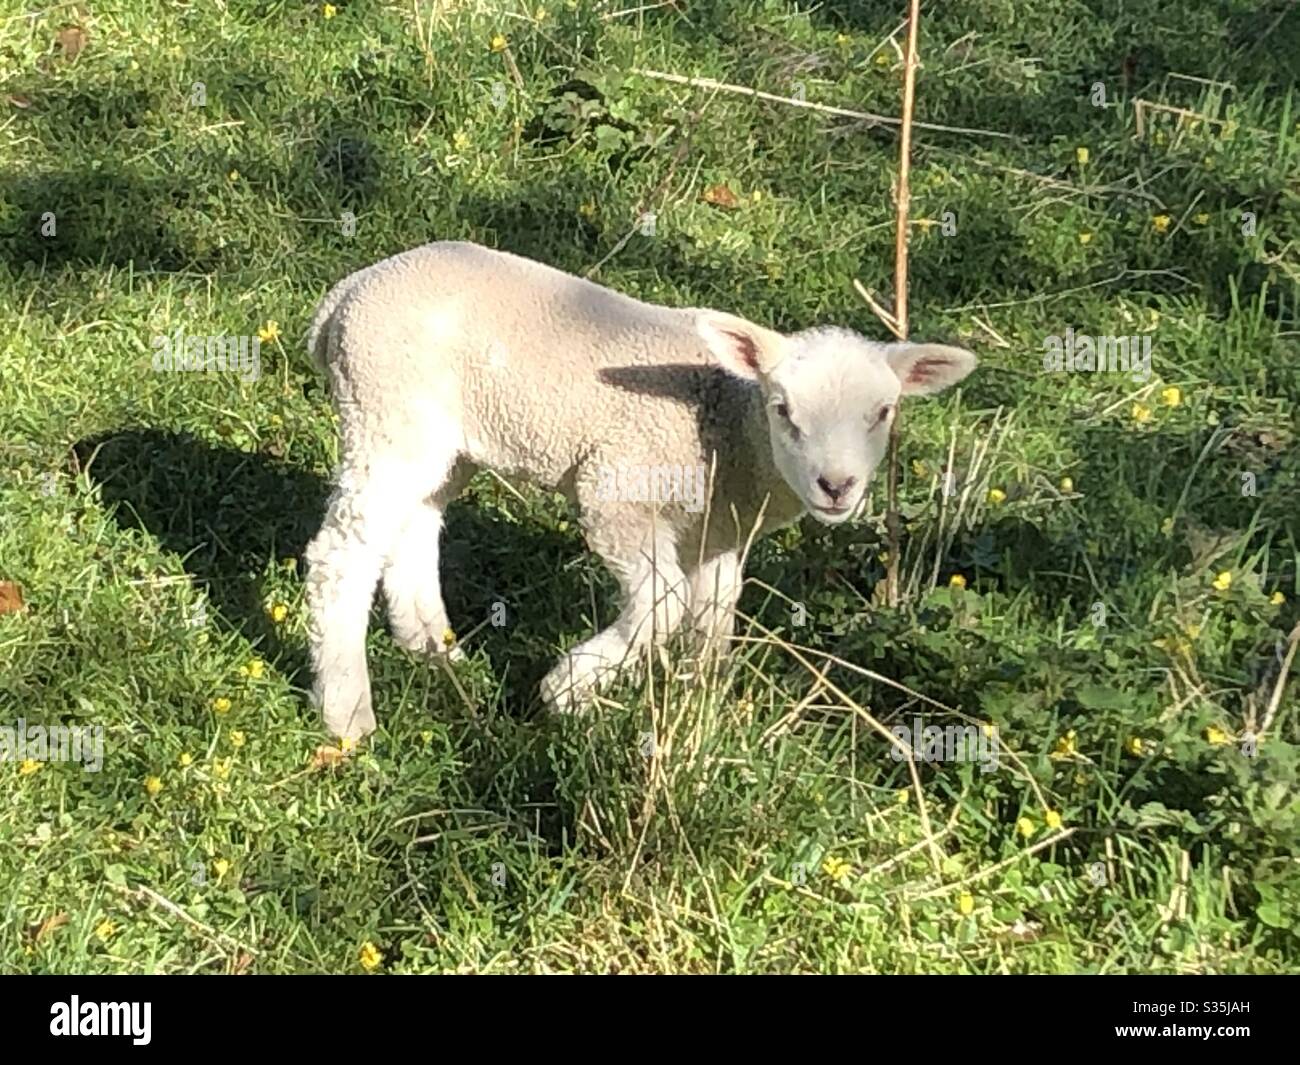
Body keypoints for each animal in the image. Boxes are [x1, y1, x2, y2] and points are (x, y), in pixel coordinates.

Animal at [304, 241, 976, 739]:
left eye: (884, 412)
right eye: (782, 408)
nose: (836, 485)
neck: (730, 426)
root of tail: (345, 294)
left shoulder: (717, 531)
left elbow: (714, 614)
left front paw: (699, 704)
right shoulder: (617, 494)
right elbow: (664, 603)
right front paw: (568, 689)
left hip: (443, 441)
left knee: (415, 524)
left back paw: (432, 647)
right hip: (385, 408)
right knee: (341, 555)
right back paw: (347, 709)